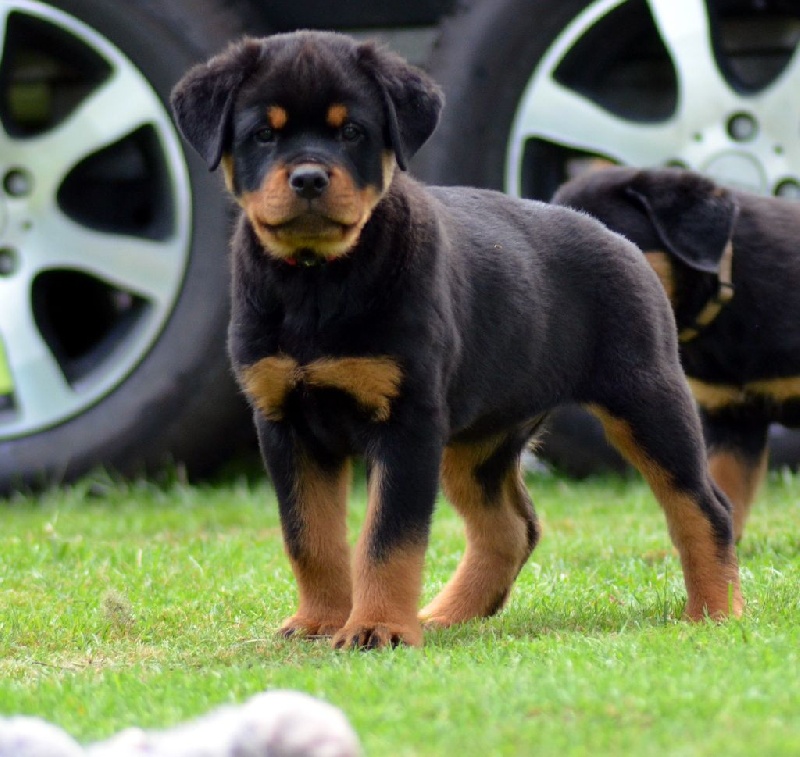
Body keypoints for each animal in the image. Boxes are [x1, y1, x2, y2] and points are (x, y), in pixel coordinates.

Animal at [170, 34, 744, 648]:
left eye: (352, 132)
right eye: (263, 134)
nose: (308, 179)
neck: (316, 281)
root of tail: (614, 234)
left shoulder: (407, 422)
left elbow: (388, 538)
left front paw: (376, 628)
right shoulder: (285, 422)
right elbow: (309, 536)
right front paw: (320, 621)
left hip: (645, 395)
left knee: (703, 504)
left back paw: (716, 611)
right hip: (477, 437)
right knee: (512, 527)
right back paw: (448, 614)